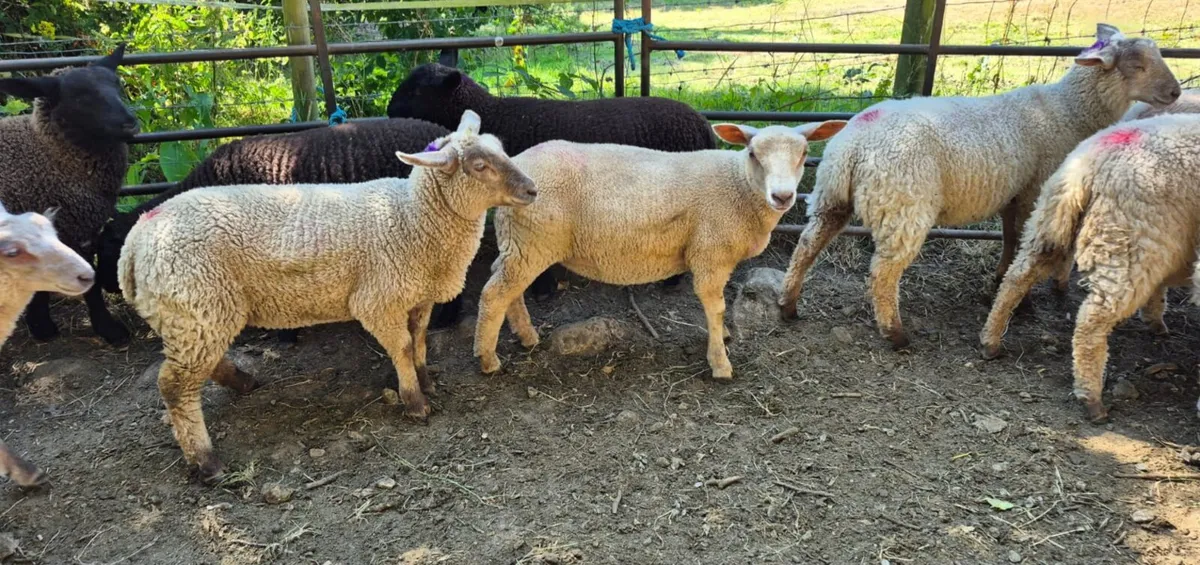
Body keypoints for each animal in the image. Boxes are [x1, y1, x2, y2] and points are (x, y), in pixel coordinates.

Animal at [0, 44, 137, 345]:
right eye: (79, 96)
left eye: (117, 84)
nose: (131, 123)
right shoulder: (74, 228)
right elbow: (90, 284)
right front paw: (109, 329)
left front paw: (40, 325)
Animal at [386, 52, 715, 309]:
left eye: (418, 92)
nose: (389, 112)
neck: (498, 115)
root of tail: (703, 124)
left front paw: (543, 288)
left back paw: (671, 281)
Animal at [473, 119, 847, 379]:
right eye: (753, 153)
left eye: (804, 154)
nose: (782, 196)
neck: (739, 185)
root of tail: (515, 166)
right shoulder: (710, 252)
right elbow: (716, 306)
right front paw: (720, 362)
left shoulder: (717, 256)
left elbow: (719, 306)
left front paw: (723, 337)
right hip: (532, 241)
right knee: (494, 293)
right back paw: (488, 359)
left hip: (520, 241)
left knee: (505, 286)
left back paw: (527, 336)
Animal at [776, 24, 1181, 350]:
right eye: (1138, 65)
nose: (1176, 93)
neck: (1068, 111)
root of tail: (855, 142)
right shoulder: (1035, 190)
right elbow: (1020, 243)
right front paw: (1020, 300)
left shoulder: (1015, 194)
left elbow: (1009, 238)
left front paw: (997, 281)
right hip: (904, 204)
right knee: (884, 272)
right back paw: (895, 332)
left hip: (831, 196)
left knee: (807, 245)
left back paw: (788, 305)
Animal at [979, 113, 1200, 423]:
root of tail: (1087, 166)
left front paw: (1155, 319)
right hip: (1132, 239)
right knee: (1091, 320)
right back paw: (1091, 399)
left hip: (1049, 225)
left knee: (1016, 278)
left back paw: (990, 341)